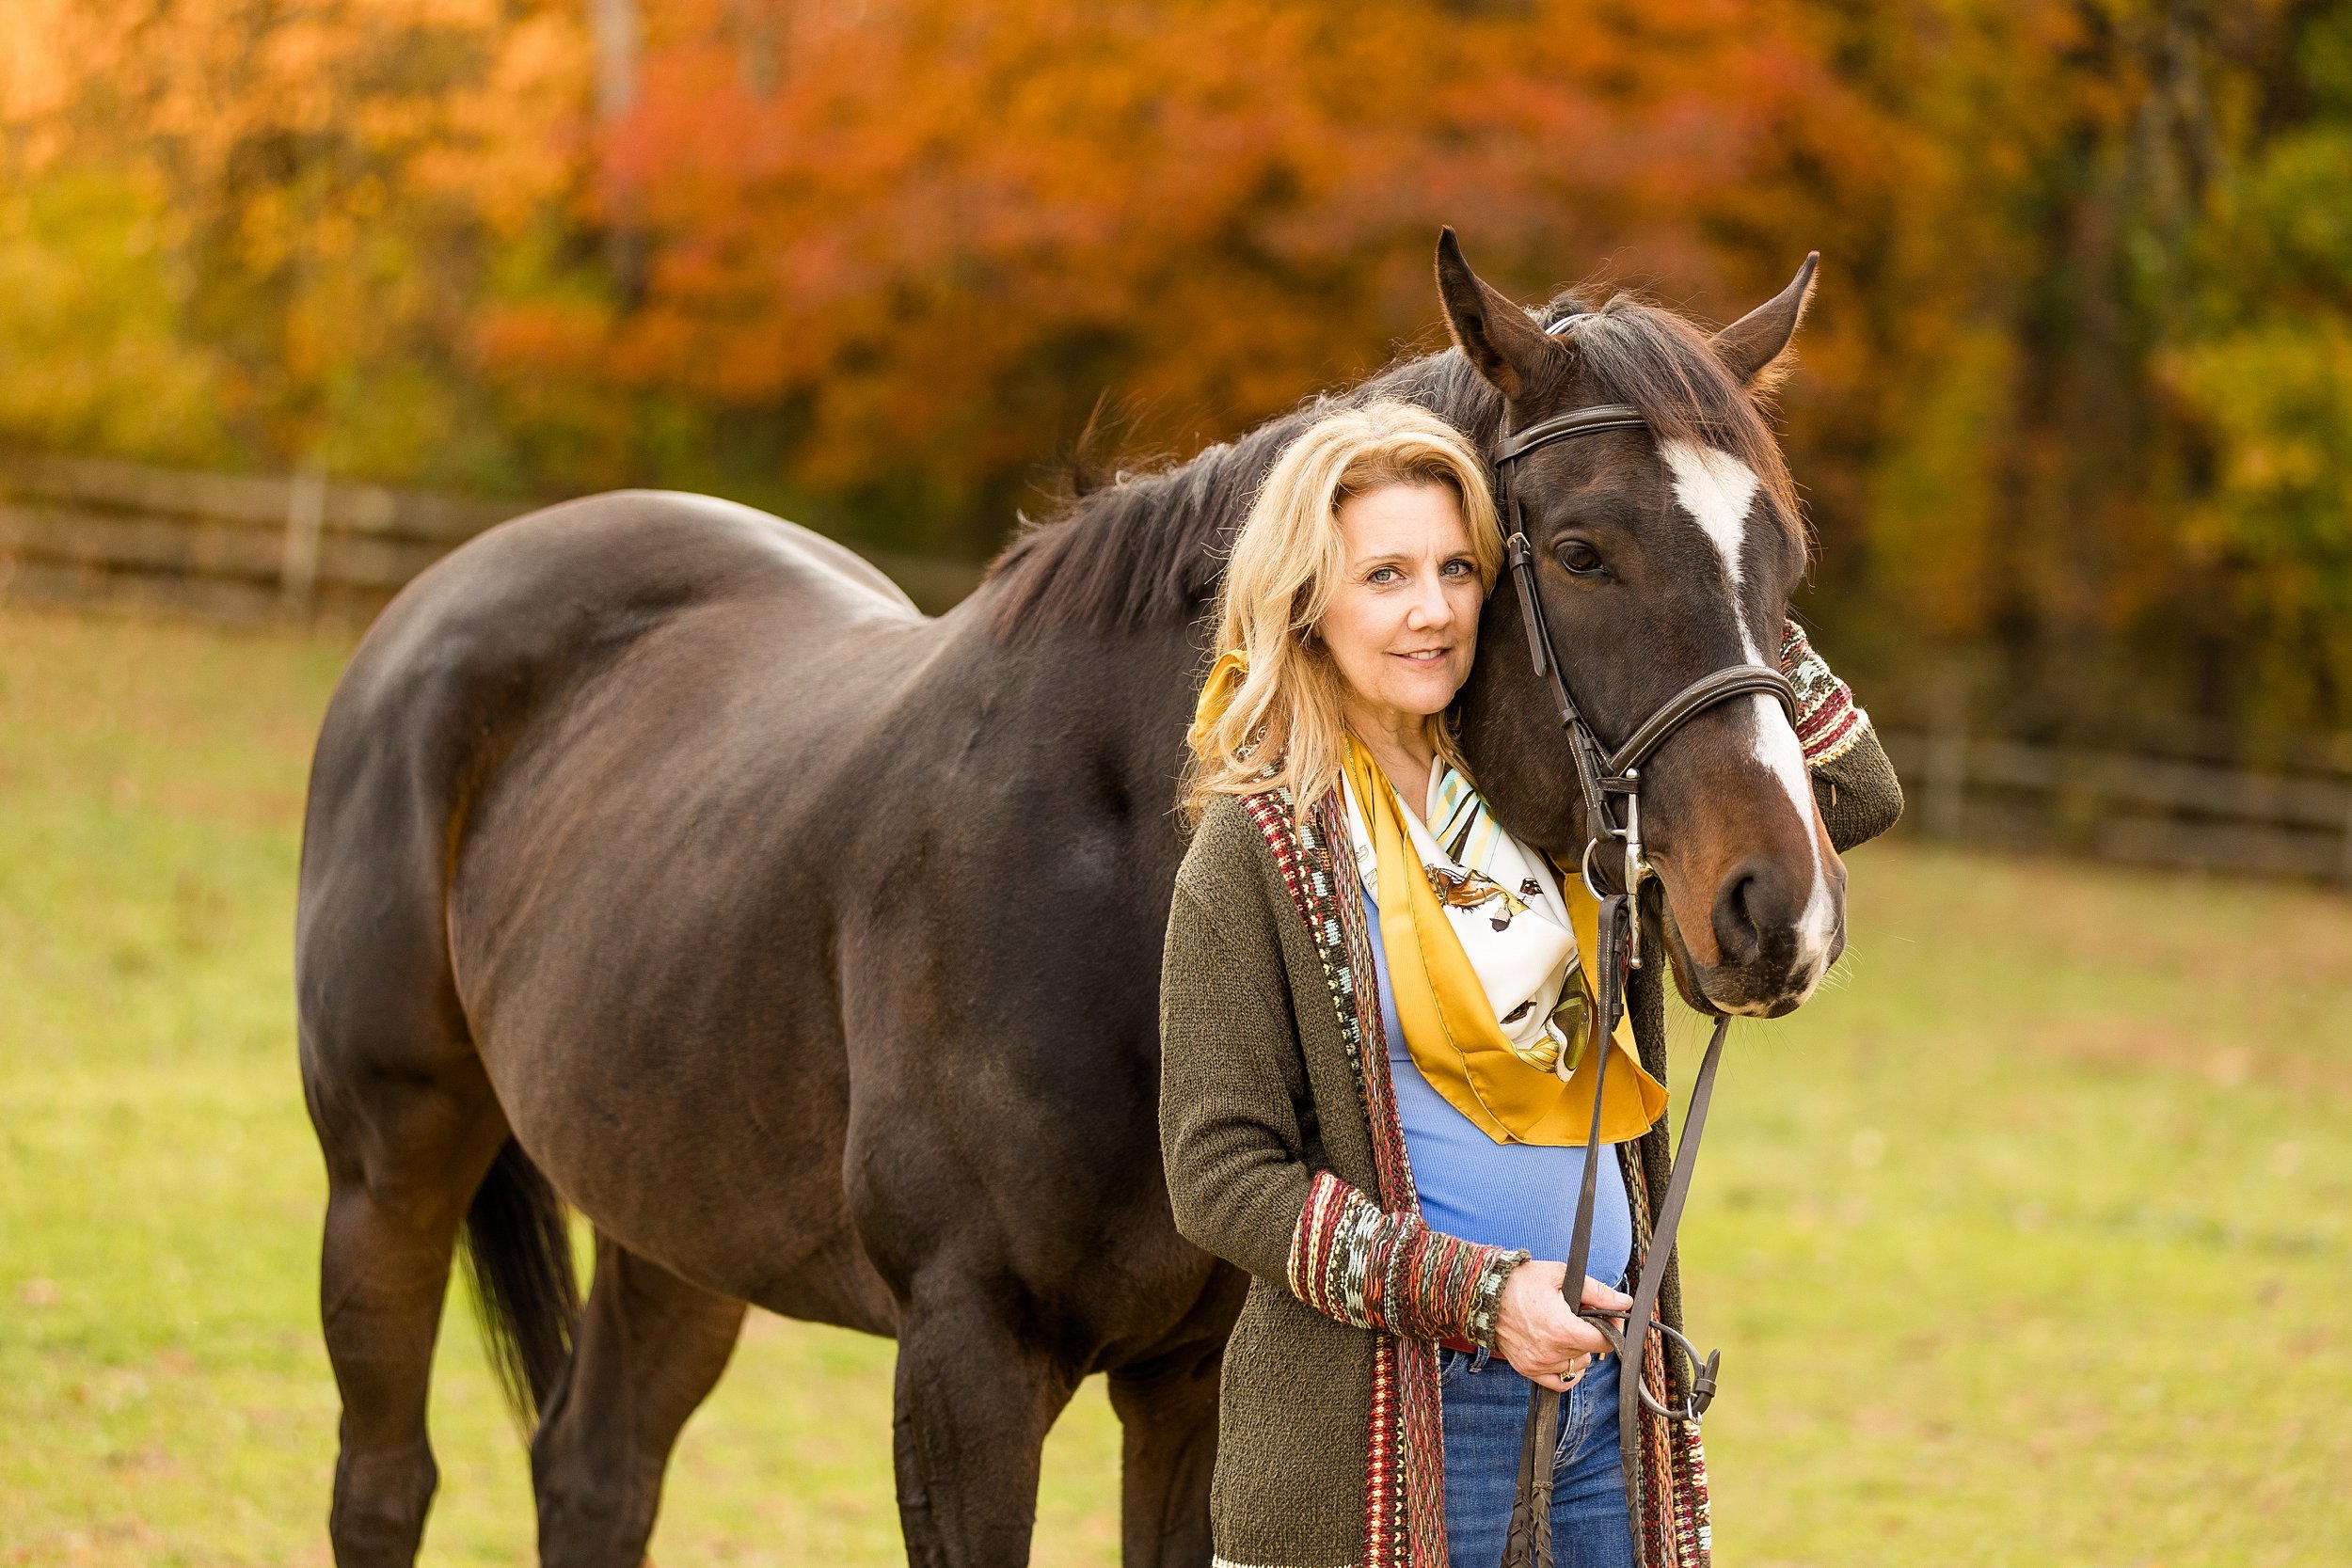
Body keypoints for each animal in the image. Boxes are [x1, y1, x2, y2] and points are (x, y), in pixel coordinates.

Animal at [294, 236, 1835, 1568]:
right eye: (1580, 551)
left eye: (1782, 562)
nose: (1783, 909)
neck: (1114, 872)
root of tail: (439, 593)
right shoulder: (967, 1358)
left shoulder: (1192, 1372)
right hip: (388, 1171)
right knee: (385, 1481)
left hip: (672, 1216)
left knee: (595, 1473)